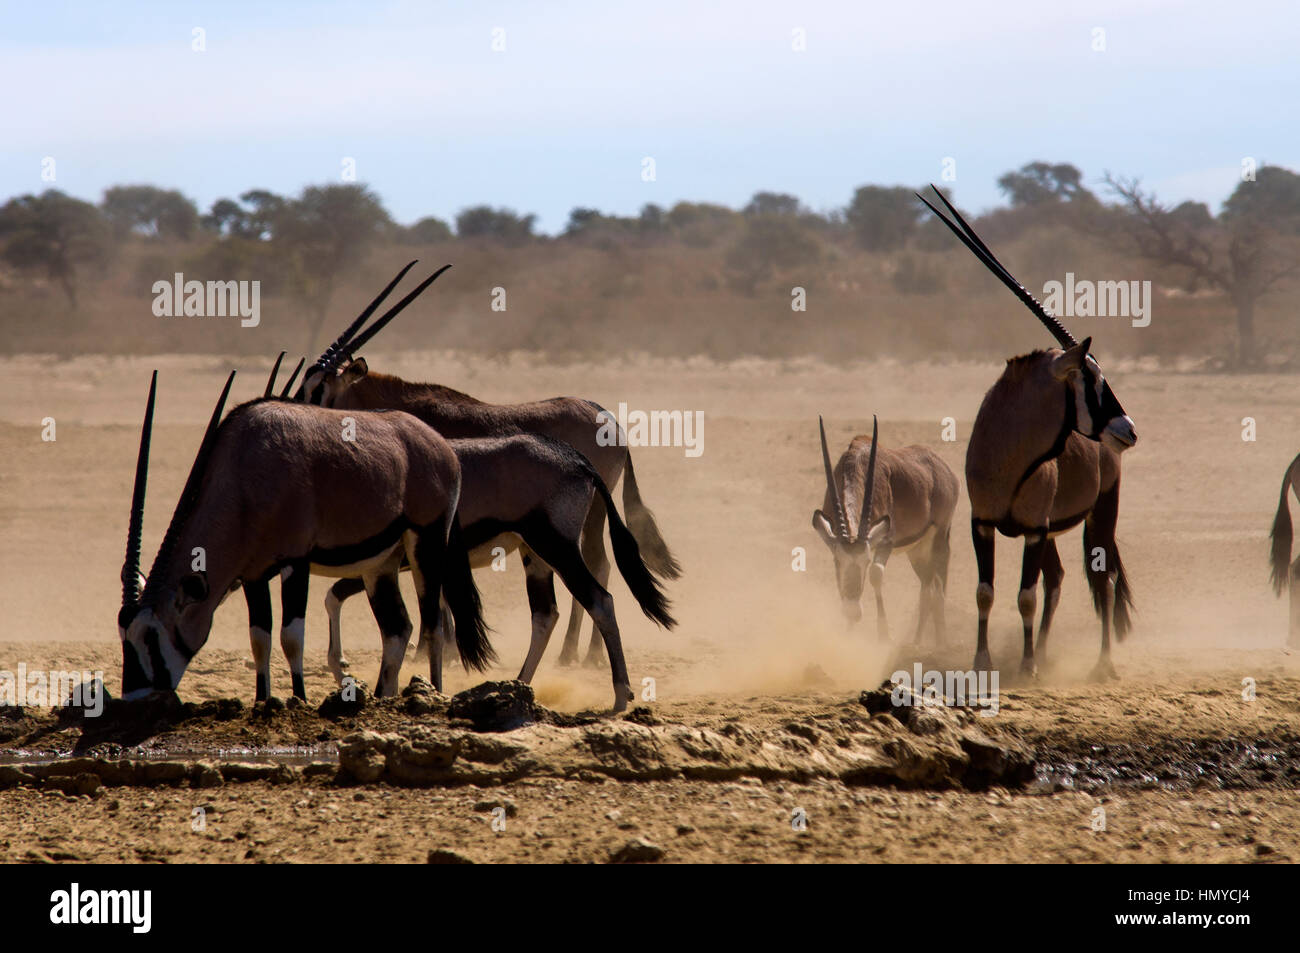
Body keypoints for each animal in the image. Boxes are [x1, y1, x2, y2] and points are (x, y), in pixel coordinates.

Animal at [115, 371, 491, 696]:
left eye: (151, 637)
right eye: (124, 636)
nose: (135, 695)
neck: (244, 471)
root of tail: (441, 446)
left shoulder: (295, 561)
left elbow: (291, 637)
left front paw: (299, 699)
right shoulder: (253, 574)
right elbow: (260, 640)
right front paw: (262, 701)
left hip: (427, 543)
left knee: (433, 626)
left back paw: (435, 692)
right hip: (381, 564)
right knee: (397, 629)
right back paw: (383, 696)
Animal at [816, 413, 961, 642]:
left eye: (865, 561)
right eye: (837, 561)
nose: (853, 612)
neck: (856, 466)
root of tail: (944, 469)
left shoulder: (886, 540)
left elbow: (876, 574)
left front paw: (883, 633)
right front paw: (848, 635)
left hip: (940, 538)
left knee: (939, 590)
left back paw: (941, 643)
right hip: (917, 550)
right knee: (927, 589)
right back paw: (916, 643)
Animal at [915, 184, 1138, 676]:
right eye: (1090, 377)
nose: (1128, 430)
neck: (1009, 457)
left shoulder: (1033, 530)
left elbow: (1025, 596)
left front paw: (1028, 665)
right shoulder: (983, 524)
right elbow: (987, 592)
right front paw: (984, 660)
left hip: (1100, 517)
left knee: (1103, 580)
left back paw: (1101, 664)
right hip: (1055, 530)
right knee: (1058, 578)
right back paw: (1049, 651)